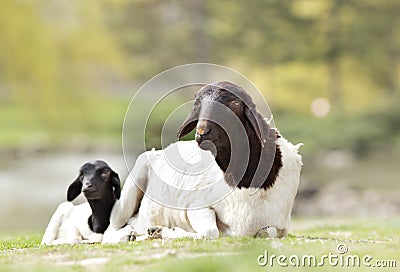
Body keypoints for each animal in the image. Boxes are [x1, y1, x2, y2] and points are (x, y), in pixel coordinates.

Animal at [101, 82, 302, 243]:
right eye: (198, 104)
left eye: (235, 103)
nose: (201, 132)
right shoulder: (197, 206)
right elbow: (210, 232)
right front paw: (161, 231)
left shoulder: (280, 226)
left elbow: (269, 232)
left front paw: (157, 231)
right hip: (128, 194)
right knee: (110, 230)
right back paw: (127, 235)